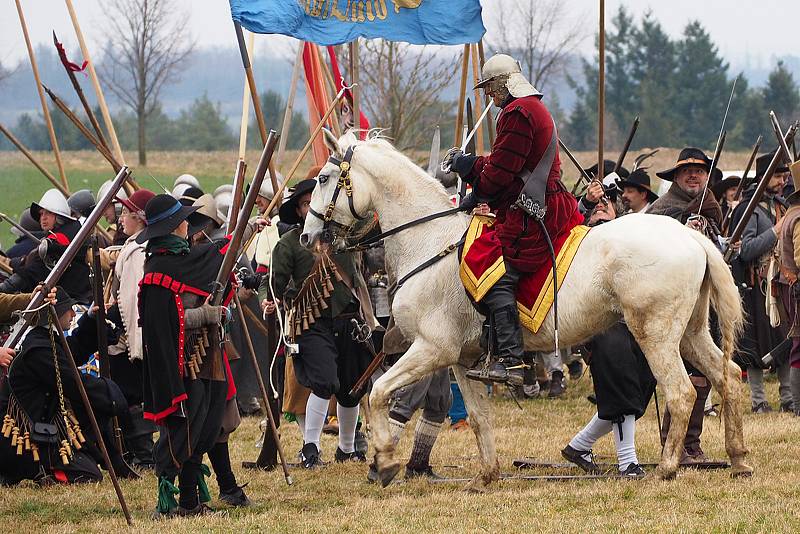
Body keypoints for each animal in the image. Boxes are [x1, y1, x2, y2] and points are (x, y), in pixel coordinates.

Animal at [304, 133, 752, 490]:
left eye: (324, 179)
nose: (309, 236)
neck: (428, 240)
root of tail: (692, 237)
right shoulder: (462, 360)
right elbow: (479, 418)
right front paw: (486, 476)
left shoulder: (432, 349)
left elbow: (378, 390)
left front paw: (383, 461)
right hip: (690, 332)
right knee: (727, 376)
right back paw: (738, 459)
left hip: (656, 335)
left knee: (681, 391)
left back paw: (668, 467)